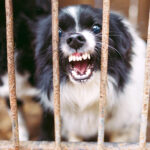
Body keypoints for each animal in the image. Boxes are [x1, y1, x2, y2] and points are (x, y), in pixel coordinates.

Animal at [34, 4, 146, 142]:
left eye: (96, 28)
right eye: (58, 32)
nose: (75, 39)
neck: (85, 90)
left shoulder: (123, 130)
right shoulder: (73, 130)